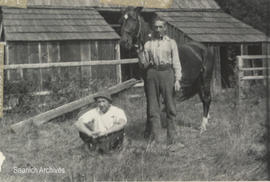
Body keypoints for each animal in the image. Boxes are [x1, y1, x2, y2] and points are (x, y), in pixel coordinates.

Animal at [119, 6, 214, 134]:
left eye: (133, 19)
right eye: (121, 20)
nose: (124, 42)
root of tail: (204, 49)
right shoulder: (147, 84)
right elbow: (149, 106)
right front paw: (147, 131)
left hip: (205, 79)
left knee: (207, 99)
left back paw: (203, 126)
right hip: (197, 81)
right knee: (203, 99)